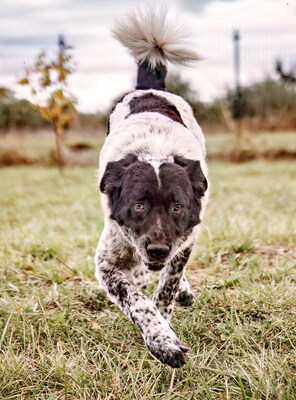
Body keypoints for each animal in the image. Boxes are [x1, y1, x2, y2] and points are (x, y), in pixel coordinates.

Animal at [95, 7, 208, 368]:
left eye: (178, 206)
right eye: (138, 205)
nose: (157, 249)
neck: (155, 152)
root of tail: (149, 88)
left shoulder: (186, 238)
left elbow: (166, 287)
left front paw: (165, 324)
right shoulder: (107, 262)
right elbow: (136, 300)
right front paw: (162, 341)